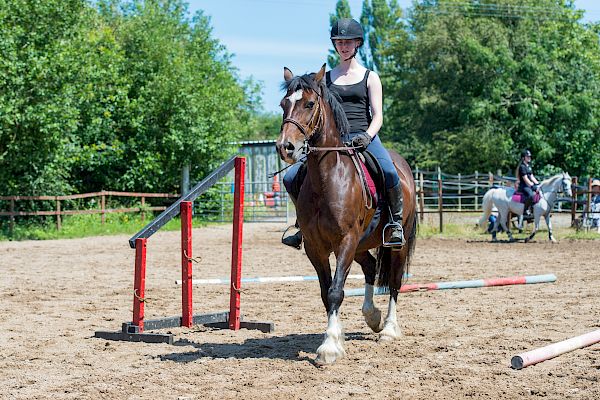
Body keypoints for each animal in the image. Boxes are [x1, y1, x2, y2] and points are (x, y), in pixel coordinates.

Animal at [276, 64, 418, 364]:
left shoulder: (345, 241)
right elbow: (325, 292)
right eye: (284, 104)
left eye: (309, 104)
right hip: (361, 244)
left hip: (392, 244)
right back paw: (372, 316)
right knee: (371, 267)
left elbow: (336, 291)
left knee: (395, 281)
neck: (327, 178)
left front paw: (329, 346)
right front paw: (336, 337)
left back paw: (389, 329)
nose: (286, 147)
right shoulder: (316, 247)